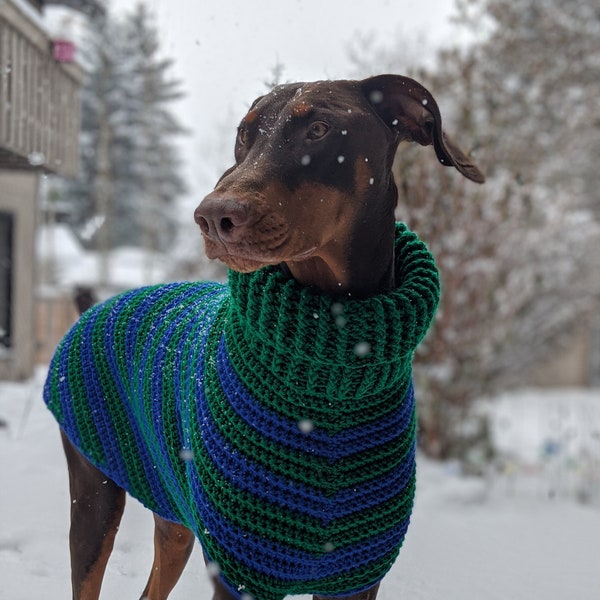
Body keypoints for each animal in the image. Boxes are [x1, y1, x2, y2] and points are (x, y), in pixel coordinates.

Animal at [43, 75, 482, 600]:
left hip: (175, 515)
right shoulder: (241, 572)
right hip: (94, 499)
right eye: (244, 135)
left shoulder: (356, 576)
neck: (332, 368)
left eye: (320, 128)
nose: (213, 216)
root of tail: (96, 307)